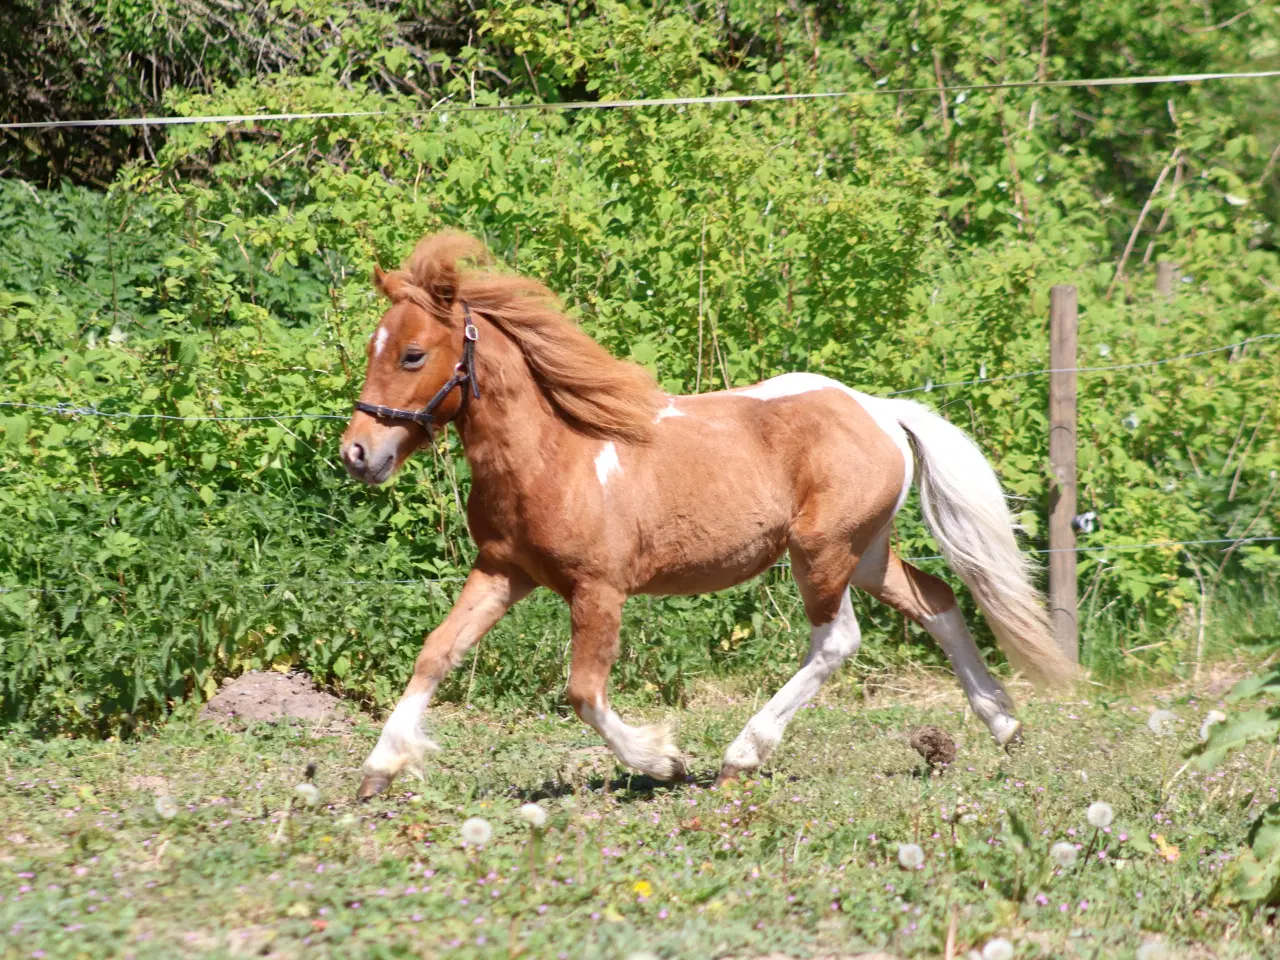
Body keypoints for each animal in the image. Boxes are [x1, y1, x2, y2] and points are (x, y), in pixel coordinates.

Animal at [337, 231, 1070, 798]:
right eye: (373, 347)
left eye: (412, 354)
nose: (357, 452)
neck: (554, 457)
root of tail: (879, 409)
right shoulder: (501, 572)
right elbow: (437, 651)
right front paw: (380, 767)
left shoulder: (598, 590)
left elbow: (583, 692)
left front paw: (663, 761)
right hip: (865, 552)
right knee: (936, 601)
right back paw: (1004, 726)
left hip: (821, 551)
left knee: (837, 640)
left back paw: (741, 756)